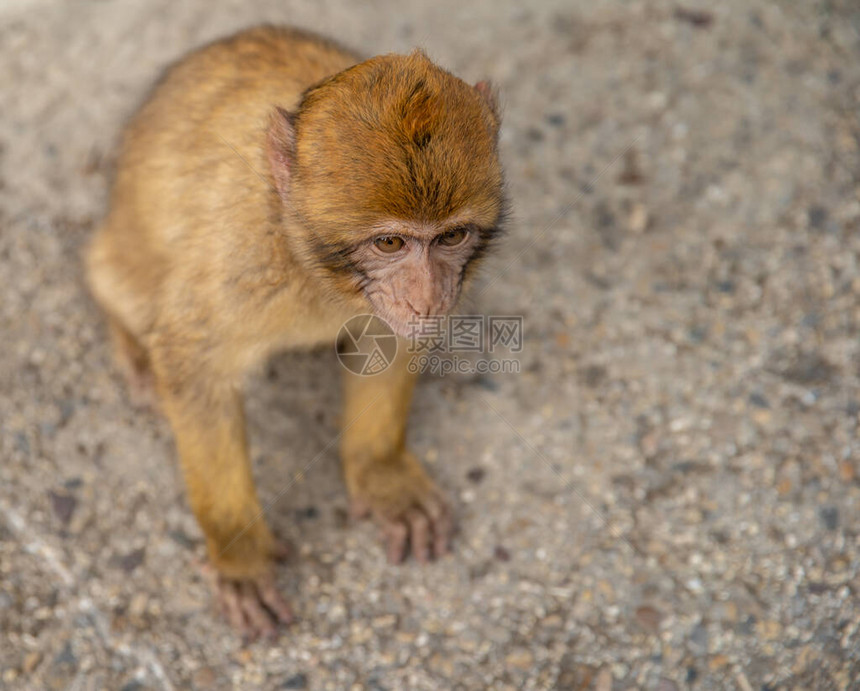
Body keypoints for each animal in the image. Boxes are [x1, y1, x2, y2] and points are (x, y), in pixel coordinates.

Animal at [85, 27, 504, 644]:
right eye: (390, 243)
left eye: (451, 237)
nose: (429, 297)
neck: (311, 261)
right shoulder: (245, 260)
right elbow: (193, 361)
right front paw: (238, 552)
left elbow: (390, 339)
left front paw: (382, 474)